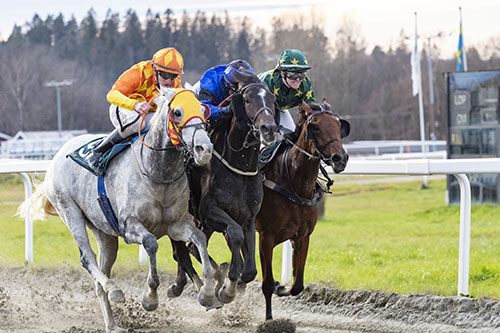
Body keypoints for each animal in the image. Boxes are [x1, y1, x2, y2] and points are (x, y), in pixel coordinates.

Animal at [17, 87, 217, 330]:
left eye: (203, 111)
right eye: (177, 112)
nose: (204, 149)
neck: (159, 173)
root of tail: (57, 155)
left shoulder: (176, 224)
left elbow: (199, 239)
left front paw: (208, 293)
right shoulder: (129, 226)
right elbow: (151, 244)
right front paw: (150, 298)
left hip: (103, 231)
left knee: (101, 273)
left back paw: (112, 323)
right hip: (70, 211)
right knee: (87, 258)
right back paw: (114, 289)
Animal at [169, 68, 282, 304]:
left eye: (272, 99)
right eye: (247, 99)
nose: (268, 128)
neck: (239, 164)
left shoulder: (248, 216)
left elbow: (249, 268)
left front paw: (233, 281)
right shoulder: (210, 211)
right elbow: (235, 235)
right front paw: (226, 287)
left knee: (193, 247)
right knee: (181, 251)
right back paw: (188, 284)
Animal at [256, 101, 350, 320]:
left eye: (338, 124)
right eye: (315, 126)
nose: (340, 158)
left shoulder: (302, 235)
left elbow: (297, 285)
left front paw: (281, 286)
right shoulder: (266, 235)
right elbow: (266, 283)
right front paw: (269, 319)